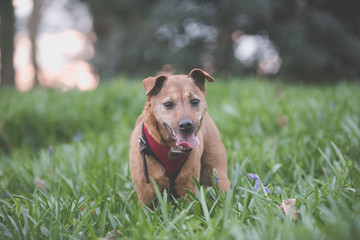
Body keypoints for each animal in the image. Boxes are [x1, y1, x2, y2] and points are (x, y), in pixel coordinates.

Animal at [129, 68, 231, 205]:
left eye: (194, 101)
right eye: (168, 104)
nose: (186, 125)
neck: (171, 149)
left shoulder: (188, 185)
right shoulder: (146, 193)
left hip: (218, 172)